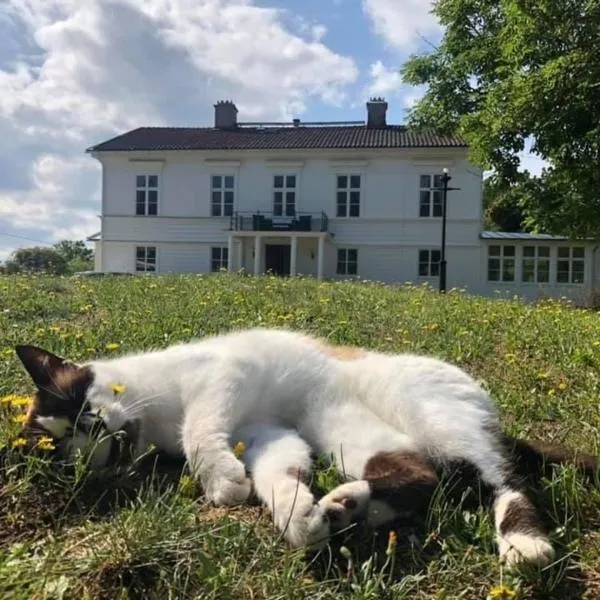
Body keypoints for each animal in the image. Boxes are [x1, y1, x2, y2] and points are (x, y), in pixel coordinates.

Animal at [11, 328, 596, 568]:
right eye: (67, 448)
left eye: (81, 409)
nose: (96, 438)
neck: (154, 418)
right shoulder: (268, 433)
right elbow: (278, 478)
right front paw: (299, 516)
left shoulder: (225, 377)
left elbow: (199, 432)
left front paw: (221, 483)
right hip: (347, 434)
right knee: (422, 477)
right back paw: (343, 509)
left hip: (430, 417)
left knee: (502, 478)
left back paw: (525, 544)